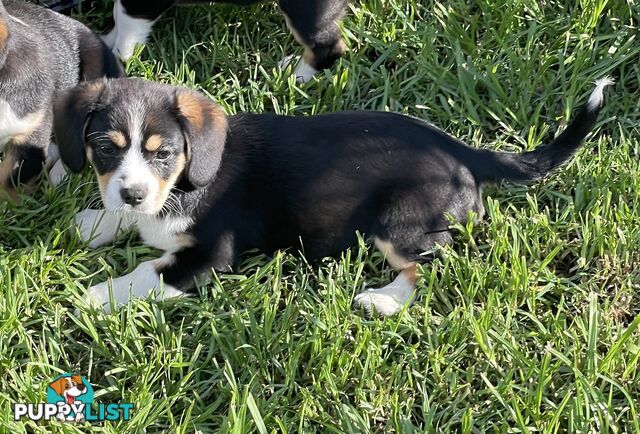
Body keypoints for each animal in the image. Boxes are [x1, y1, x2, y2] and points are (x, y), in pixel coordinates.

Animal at [53, 77, 608, 316]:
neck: (184, 185)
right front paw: (96, 221)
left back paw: (383, 300)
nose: (132, 193)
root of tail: (462, 150)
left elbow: (151, 271)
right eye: (106, 148)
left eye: (164, 153)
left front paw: (98, 295)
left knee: (431, 265)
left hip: (399, 223)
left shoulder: (212, 255)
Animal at [103, 0, 348, 83]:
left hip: (305, 10)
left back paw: (296, 75)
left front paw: (118, 58)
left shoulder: (140, 3)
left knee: (328, 47)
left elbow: (126, 25)